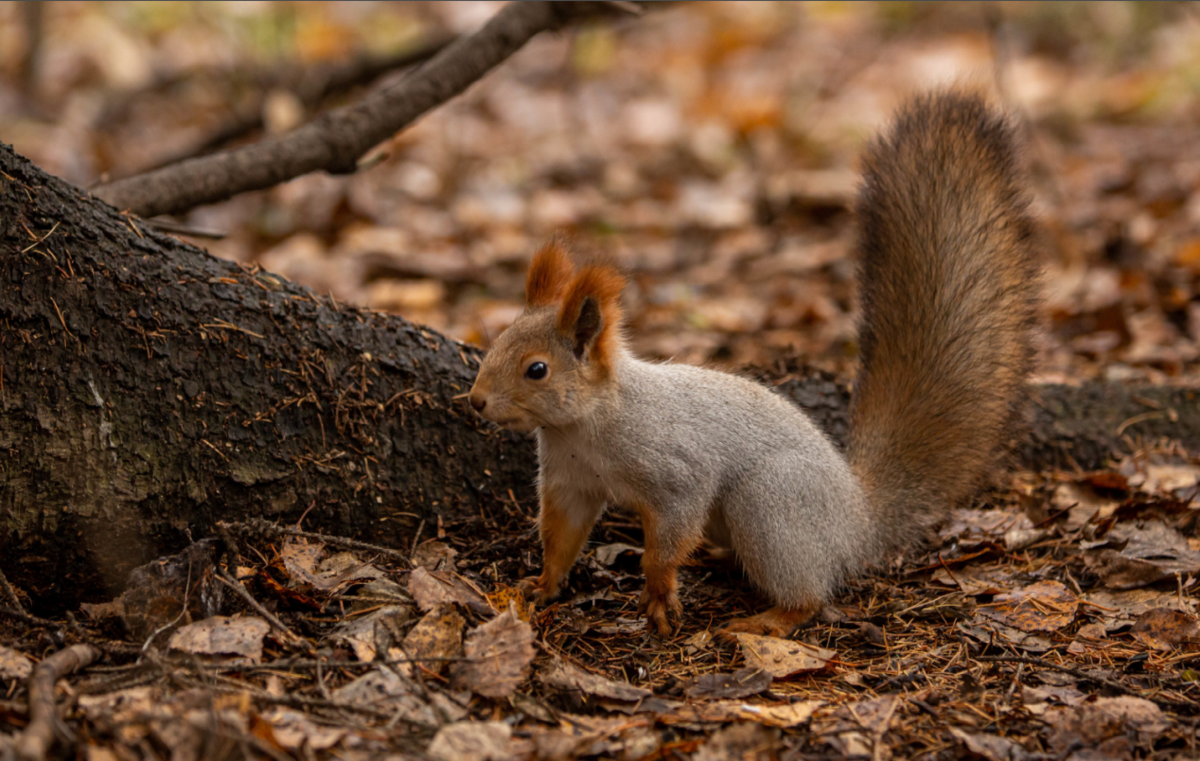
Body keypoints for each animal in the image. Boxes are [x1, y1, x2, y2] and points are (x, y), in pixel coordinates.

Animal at [465, 91, 1041, 638]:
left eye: (536, 369)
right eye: (496, 342)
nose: (475, 401)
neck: (586, 426)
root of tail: (857, 522)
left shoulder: (677, 471)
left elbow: (669, 532)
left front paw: (658, 592)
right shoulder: (569, 480)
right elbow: (562, 535)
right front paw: (542, 585)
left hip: (769, 503)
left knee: (808, 595)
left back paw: (766, 620)